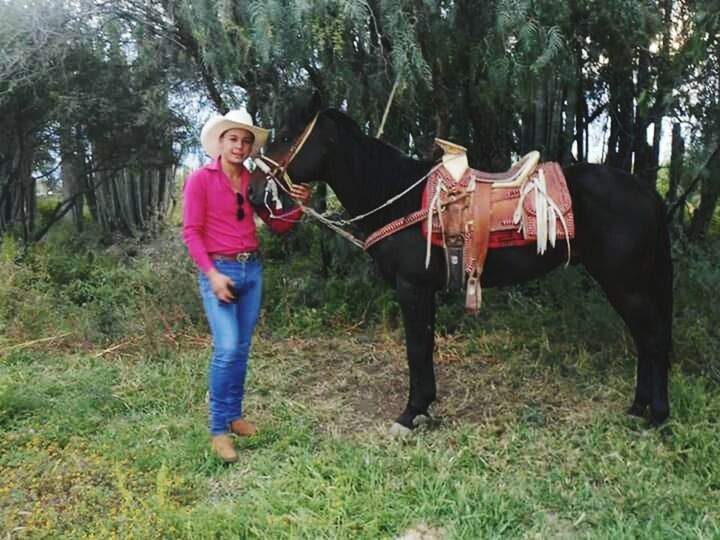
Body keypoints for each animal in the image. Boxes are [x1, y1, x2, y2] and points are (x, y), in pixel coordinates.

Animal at [250, 93, 672, 430]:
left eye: (286, 135)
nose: (254, 193)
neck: (395, 195)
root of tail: (648, 193)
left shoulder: (412, 287)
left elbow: (416, 349)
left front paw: (411, 413)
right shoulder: (424, 291)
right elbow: (424, 345)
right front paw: (424, 406)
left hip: (624, 284)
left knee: (653, 339)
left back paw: (657, 415)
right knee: (644, 339)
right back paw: (638, 408)